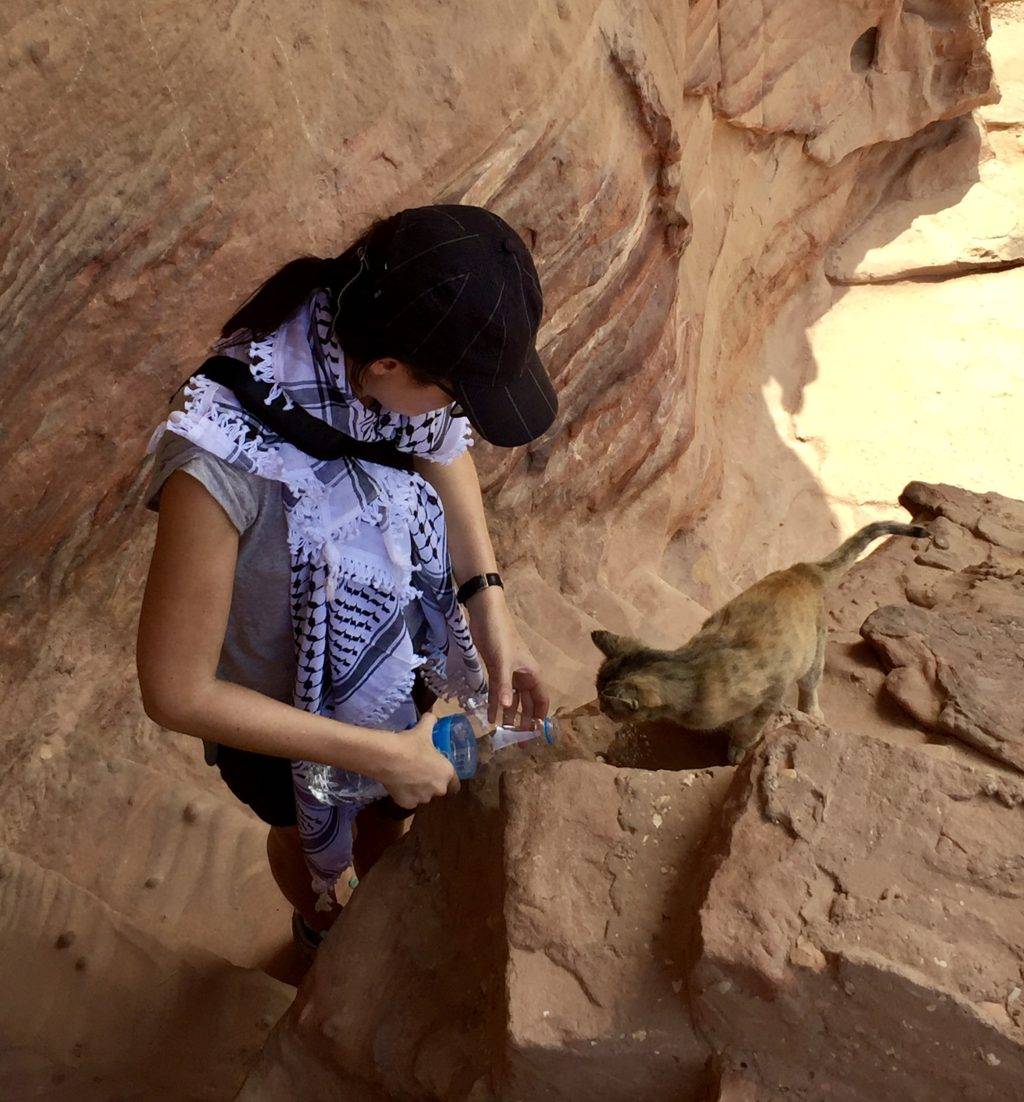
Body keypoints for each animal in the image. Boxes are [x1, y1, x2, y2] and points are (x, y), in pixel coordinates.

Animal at [586, 520, 930, 762]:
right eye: (597, 694)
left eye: (606, 702)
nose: (600, 708)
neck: (692, 670)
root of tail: (802, 569)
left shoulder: (771, 692)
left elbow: (750, 726)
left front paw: (738, 748)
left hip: (813, 654)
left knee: (811, 684)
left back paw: (812, 712)